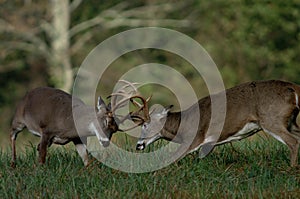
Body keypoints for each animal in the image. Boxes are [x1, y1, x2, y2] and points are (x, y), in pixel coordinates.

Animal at [10, 80, 144, 166]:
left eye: (115, 130)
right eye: (106, 121)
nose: (106, 142)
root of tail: (26, 94)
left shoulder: (77, 138)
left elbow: (85, 158)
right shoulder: (46, 130)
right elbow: (41, 158)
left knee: (36, 146)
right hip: (18, 119)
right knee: (13, 134)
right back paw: (13, 163)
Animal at [135, 79, 300, 166]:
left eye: (145, 125)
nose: (138, 145)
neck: (183, 125)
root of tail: (293, 87)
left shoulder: (194, 138)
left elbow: (171, 159)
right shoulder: (209, 143)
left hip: (272, 120)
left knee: (293, 142)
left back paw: (291, 168)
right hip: (291, 122)